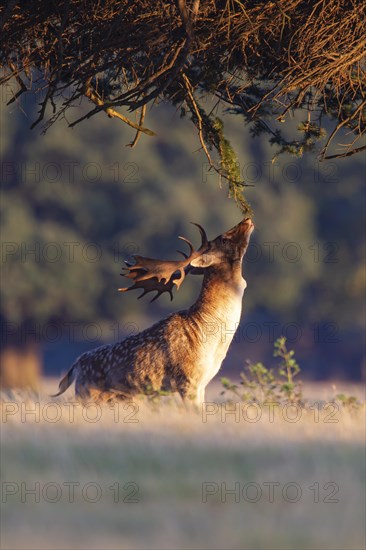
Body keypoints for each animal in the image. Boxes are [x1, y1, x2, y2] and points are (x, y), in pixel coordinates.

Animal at [53, 219, 254, 406]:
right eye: (224, 239)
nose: (247, 220)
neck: (213, 339)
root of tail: (76, 365)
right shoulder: (188, 380)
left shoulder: (203, 383)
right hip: (88, 394)